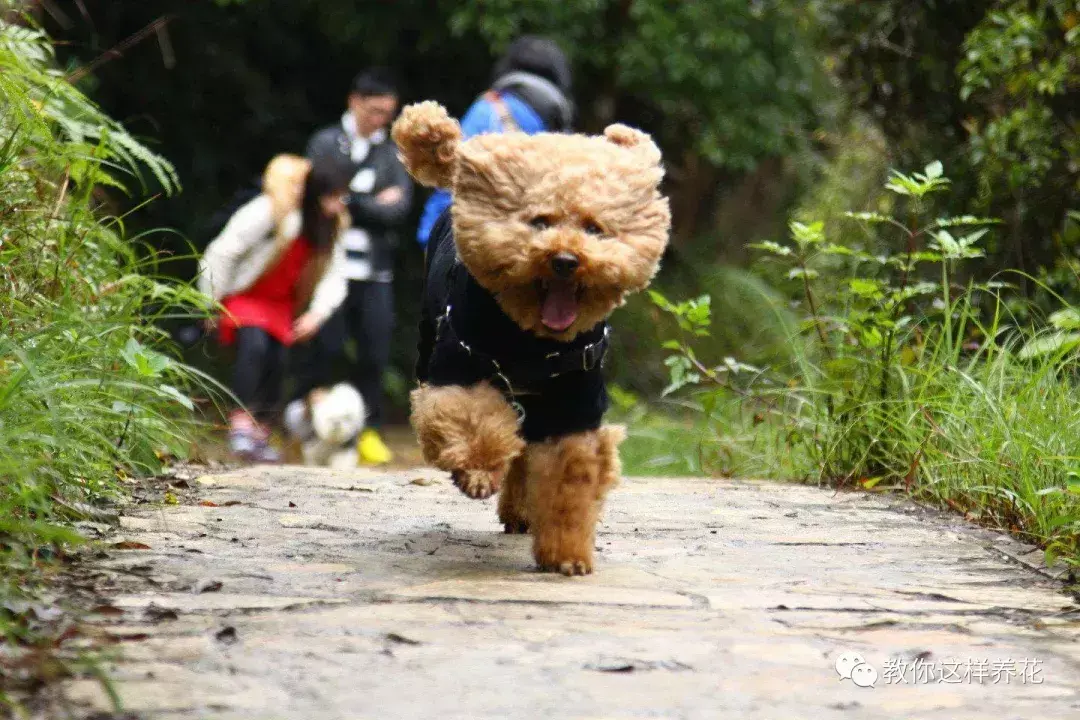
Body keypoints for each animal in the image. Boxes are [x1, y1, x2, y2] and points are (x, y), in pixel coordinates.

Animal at [393, 101, 669, 578]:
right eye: (539, 221)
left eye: (594, 228)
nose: (565, 260)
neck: (534, 342)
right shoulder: (460, 369)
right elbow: (472, 420)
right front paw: (479, 471)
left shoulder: (574, 405)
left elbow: (566, 478)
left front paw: (566, 556)